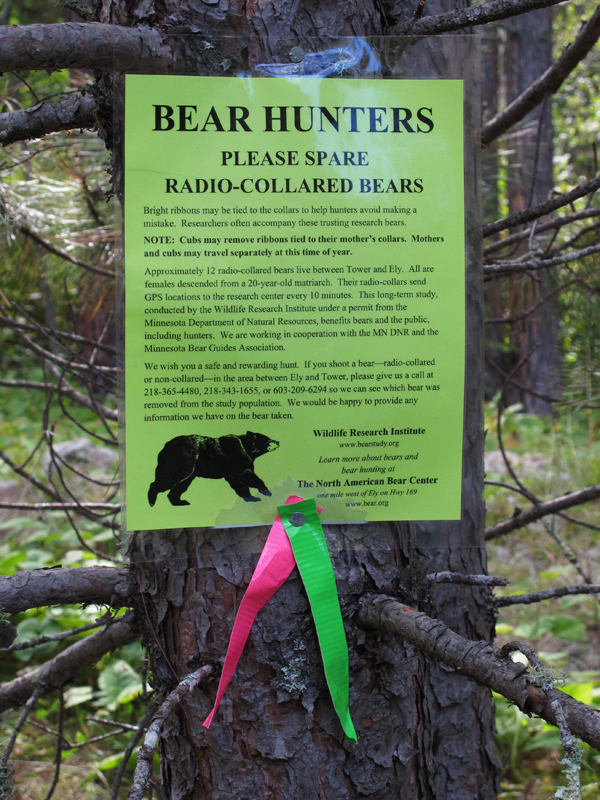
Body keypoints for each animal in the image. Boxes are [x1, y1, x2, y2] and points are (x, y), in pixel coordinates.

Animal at [147, 431, 279, 507]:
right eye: (268, 439)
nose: (278, 441)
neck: (247, 448)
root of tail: (166, 445)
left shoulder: (231, 470)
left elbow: (237, 482)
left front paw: (252, 498)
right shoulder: (237, 458)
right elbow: (246, 474)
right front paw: (266, 491)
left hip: (189, 472)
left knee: (180, 485)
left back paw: (180, 502)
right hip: (182, 462)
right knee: (167, 479)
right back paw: (151, 501)